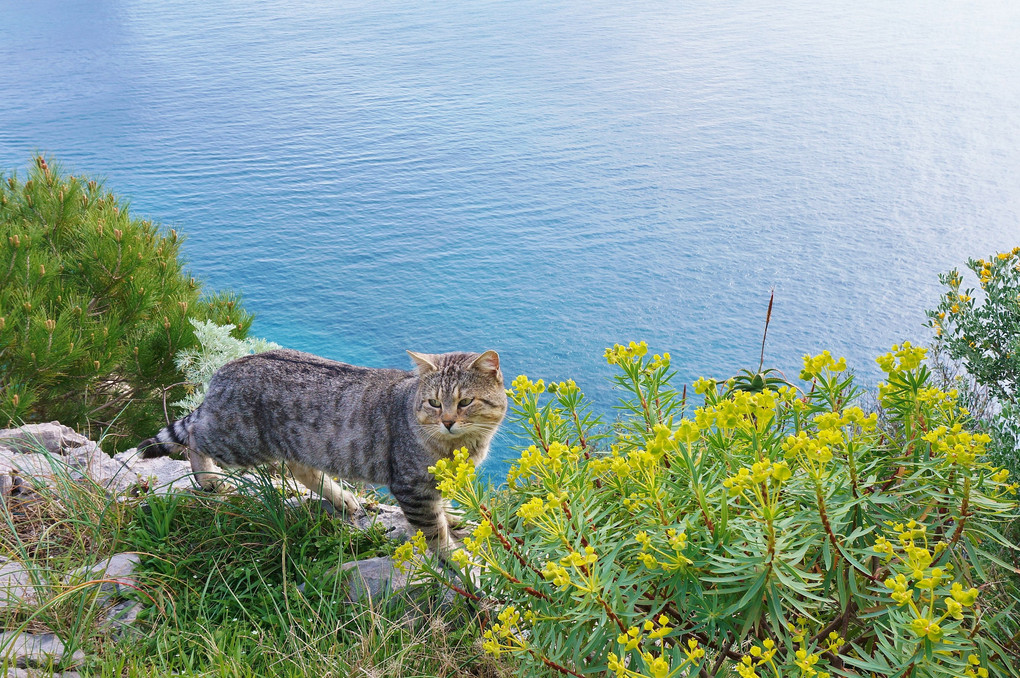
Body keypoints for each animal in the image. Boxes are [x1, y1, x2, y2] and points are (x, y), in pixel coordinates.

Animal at [138, 348, 505, 550]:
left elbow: (442, 507)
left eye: (465, 402)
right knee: (194, 435)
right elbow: (436, 538)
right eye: (433, 403)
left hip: (301, 445)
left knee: (302, 469)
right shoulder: (411, 486)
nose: (447, 421)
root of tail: (223, 371)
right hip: (237, 440)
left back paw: (342, 497)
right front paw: (459, 566)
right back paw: (208, 478)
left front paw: (453, 516)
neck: (462, 446)